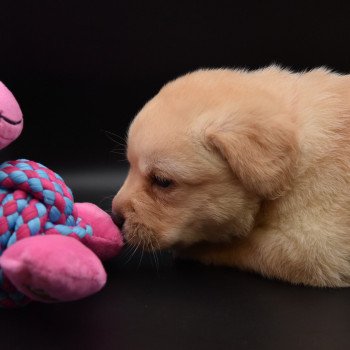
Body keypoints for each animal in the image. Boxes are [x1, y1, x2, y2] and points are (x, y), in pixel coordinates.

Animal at [111, 65, 350, 288]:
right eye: (130, 166)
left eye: (162, 181)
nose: (115, 218)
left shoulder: (316, 246)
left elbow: (247, 246)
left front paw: (199, 249)